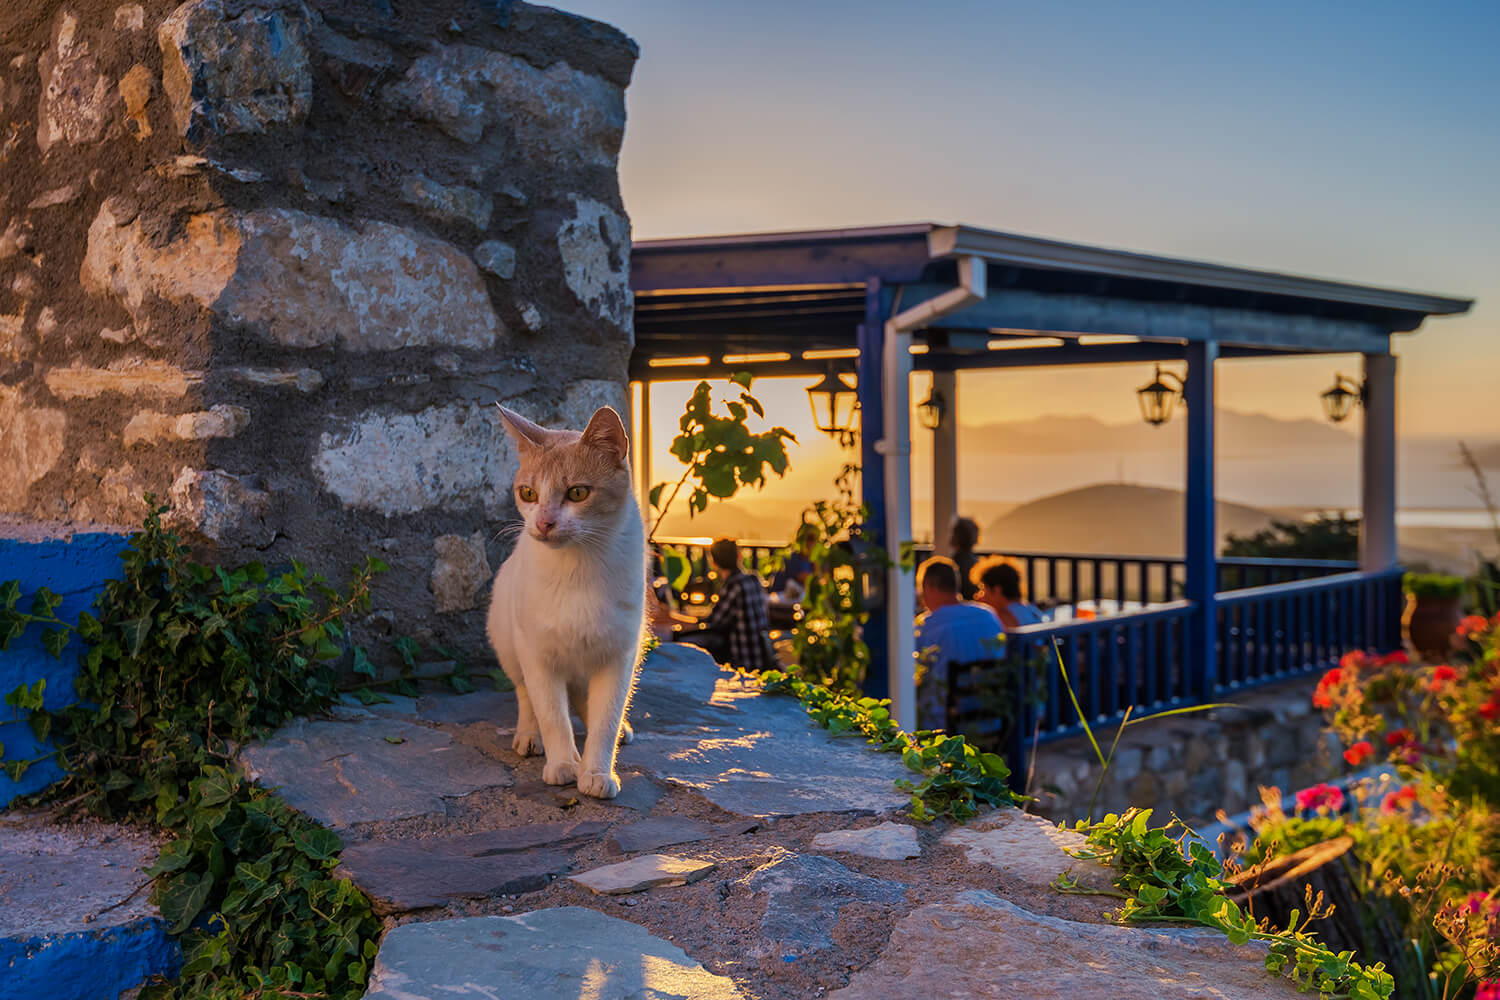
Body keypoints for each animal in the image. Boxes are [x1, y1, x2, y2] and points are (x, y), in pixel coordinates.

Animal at [483, 401, 642, 803]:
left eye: (577, 493)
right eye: (527, 493)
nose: (543, 523)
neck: (577, 568)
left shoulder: (618, 656)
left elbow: (605, 720)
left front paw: (597, 772)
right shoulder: (537, 655)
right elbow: (552, 714)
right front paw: (563, 764)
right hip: (508, 643)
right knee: (526, 696)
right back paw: (529, 737)